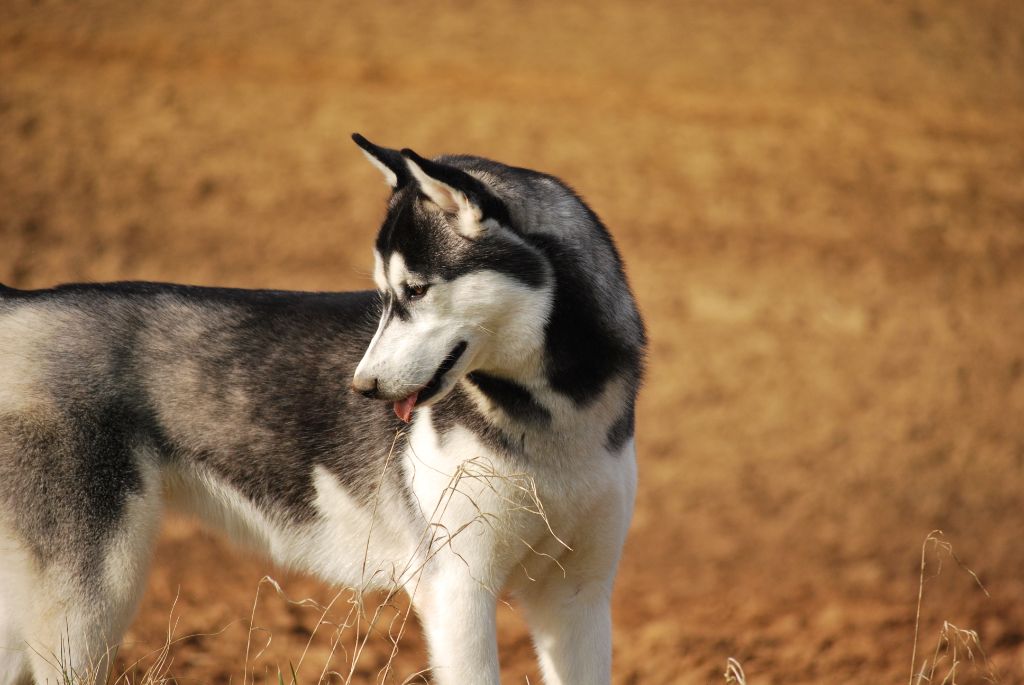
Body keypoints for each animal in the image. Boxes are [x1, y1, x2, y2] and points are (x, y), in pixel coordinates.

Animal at [0, 135, 638, 683]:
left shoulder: (579, 598)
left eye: (415, 290)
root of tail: (18, 305)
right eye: (385, 294)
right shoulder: (458, 587)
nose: (361, 387)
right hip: (91, 605)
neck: (555, 414)